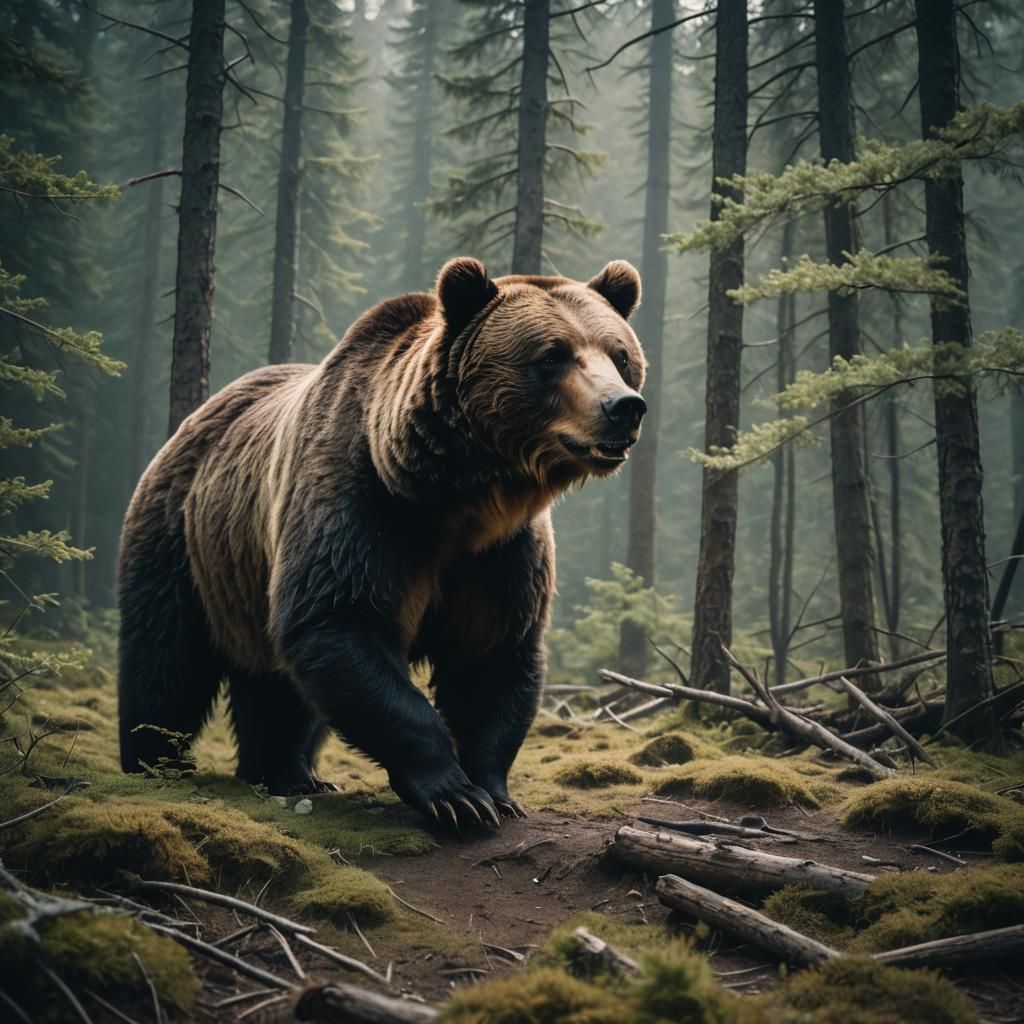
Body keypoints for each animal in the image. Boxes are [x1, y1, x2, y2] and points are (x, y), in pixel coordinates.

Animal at [118, 257, 646, 826]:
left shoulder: (500, 553)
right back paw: (154, 762)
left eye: (619, 355)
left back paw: (286, 772)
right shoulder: (361, 507)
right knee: (164, 658)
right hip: (183, 540)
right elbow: (341, 623)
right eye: (552, 355)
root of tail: (194, 420)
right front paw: (455, 796)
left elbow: (492, 655)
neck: (459, 497)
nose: (623, 406)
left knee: (273, 683)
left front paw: (495, 794)